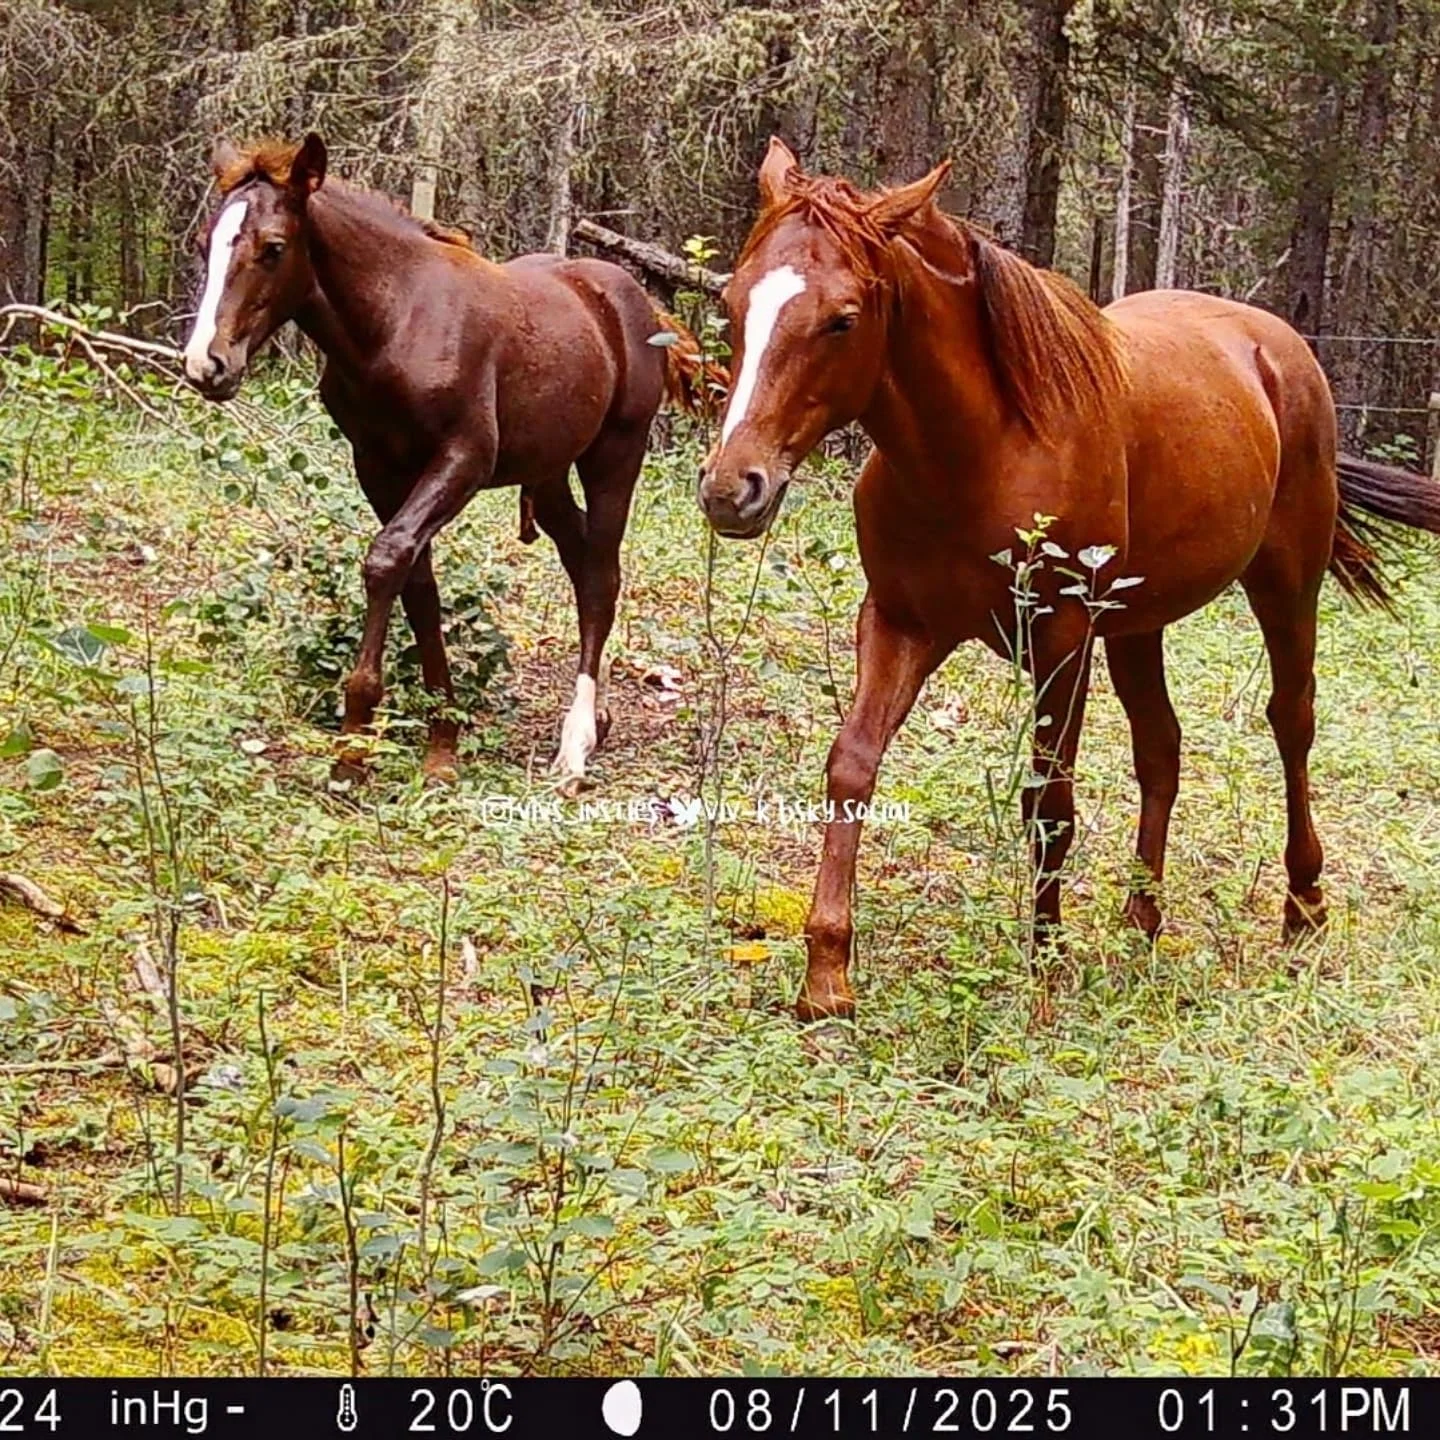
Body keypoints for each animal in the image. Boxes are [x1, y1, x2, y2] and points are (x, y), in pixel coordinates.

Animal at [181, 133, 716, 786]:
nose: (207, 363)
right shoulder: (378, 467)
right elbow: (417, 582)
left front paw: (354, 745)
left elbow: (386, 559)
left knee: (600, 574)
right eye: (205, 244)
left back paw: (576, 743)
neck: (391, 326)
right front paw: (441, 742)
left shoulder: (465, 459)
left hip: (616, 453)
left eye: (273, 247)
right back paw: (602, 717)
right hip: (548, 472)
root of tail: (636, 304)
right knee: (580, 556)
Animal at [699, 137, 1440, 1023]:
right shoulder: (900, 624)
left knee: (1291, 723)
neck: (979, 453)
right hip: (1137, 626)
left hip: (1284, 586)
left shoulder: (1060, 639)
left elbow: (1048, 801)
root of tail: (1276, 346)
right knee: (1162, 749)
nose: (731, 488)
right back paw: (1141, 921)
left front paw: (1046, 969)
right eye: (734, 302)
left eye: (842, 319)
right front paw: (827, 975)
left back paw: (1303, 911)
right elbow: (852, 764)